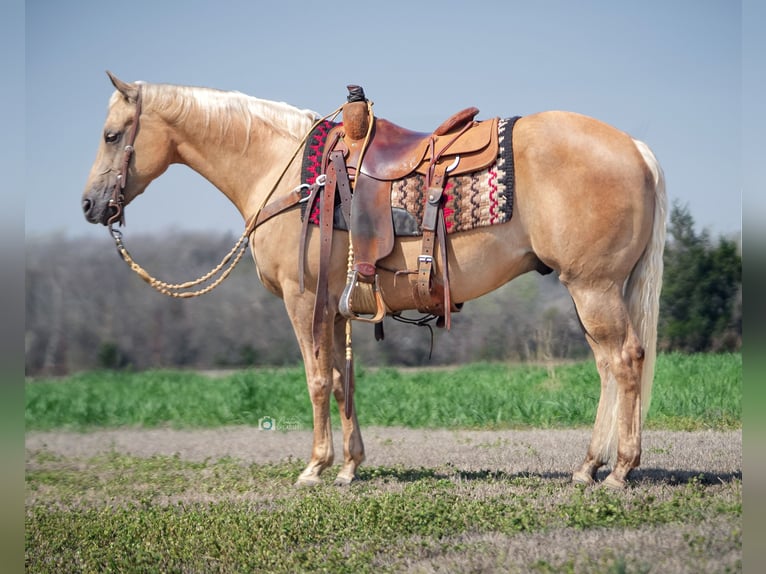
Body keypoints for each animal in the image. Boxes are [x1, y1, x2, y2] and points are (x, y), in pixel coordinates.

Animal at [81, 73, 664, 490]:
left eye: (112, 135)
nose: (90, 205)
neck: (284, 171)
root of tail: (635, 147)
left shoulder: (303, 300)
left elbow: (317, 379)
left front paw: (315, 468)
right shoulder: (335, 307)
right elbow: (344, 380)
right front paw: (349, 466)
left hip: (593, 287)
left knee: (625, 360)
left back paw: (619, 471)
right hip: (588, 290)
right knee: (607, 367)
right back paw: (588, 466)